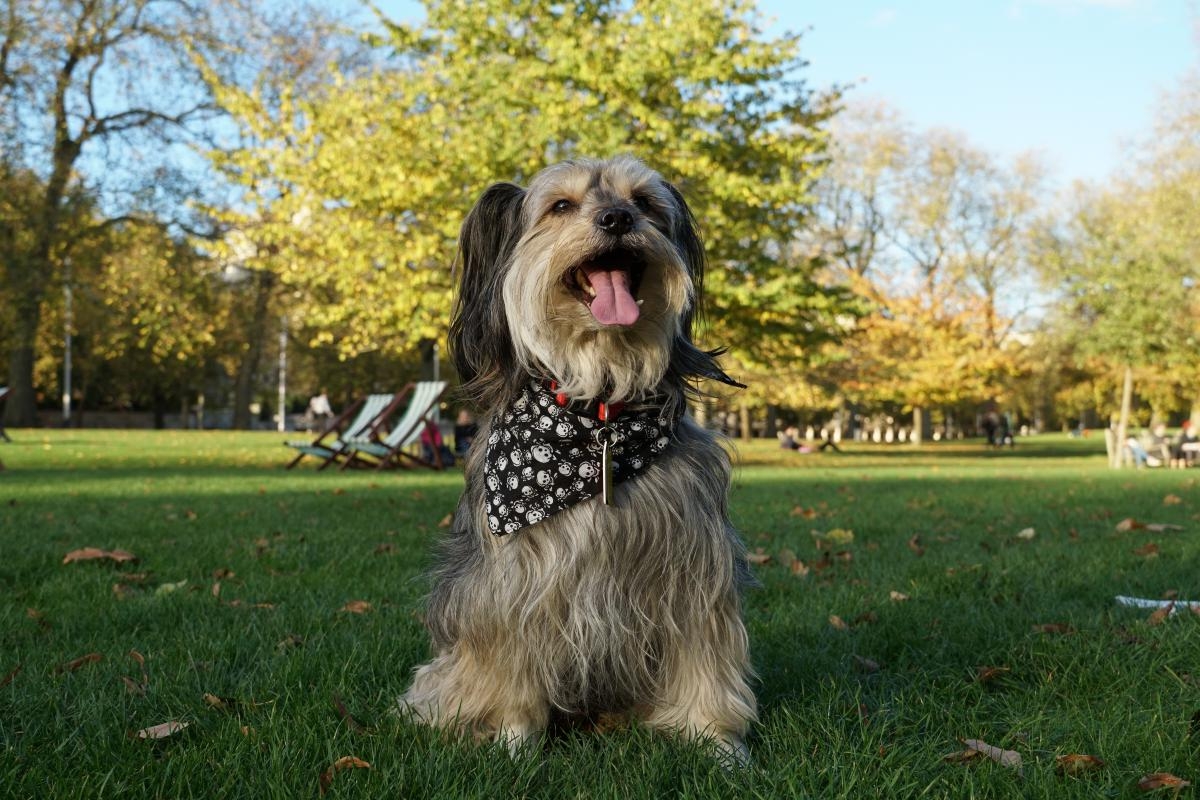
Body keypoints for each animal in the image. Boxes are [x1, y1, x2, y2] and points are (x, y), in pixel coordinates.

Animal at [403, 154, 758, 762]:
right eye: (561, 206)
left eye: (644, 202)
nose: (617, 218)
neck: (599, 421)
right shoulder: (513, 583)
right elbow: (513, 664)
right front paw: (516, 744)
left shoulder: (695, 569)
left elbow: (705, 661)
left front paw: (718, 745)